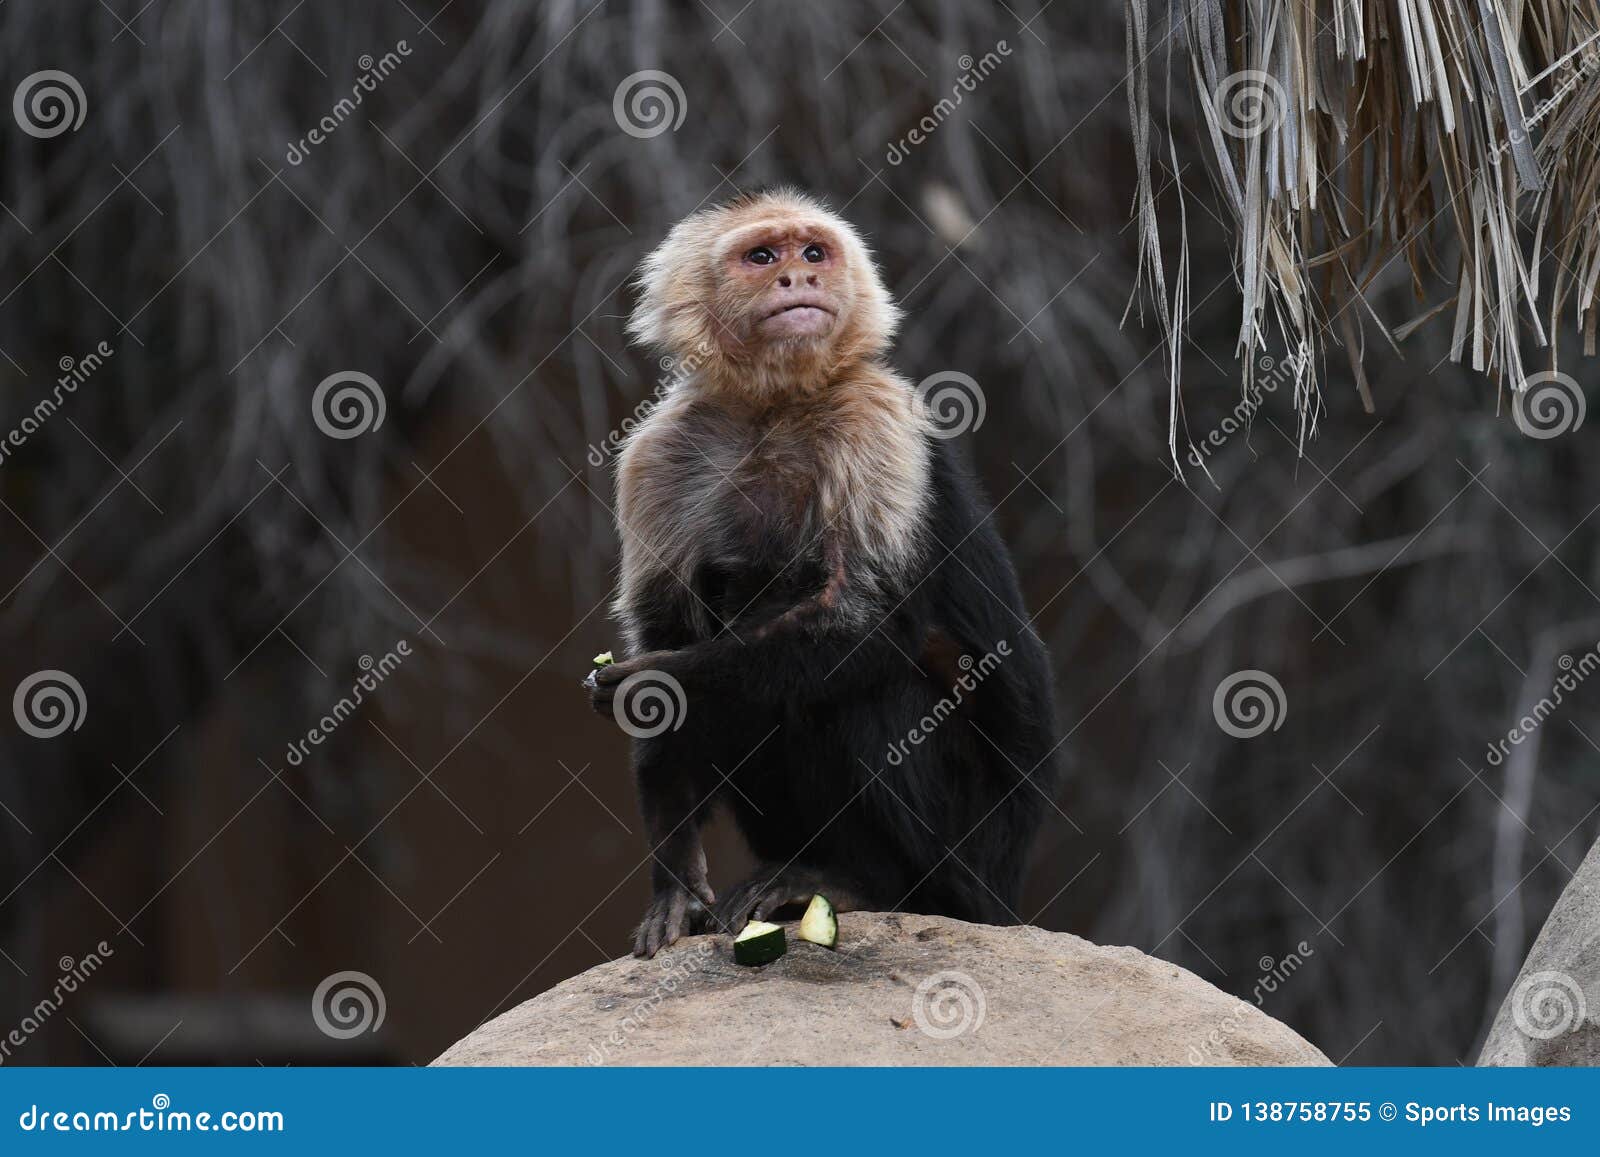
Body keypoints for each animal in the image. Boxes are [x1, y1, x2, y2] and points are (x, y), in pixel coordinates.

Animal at [588, 185, 1062, 953]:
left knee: (858, 689)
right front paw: (676, 883)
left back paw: (861, 884)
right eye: (762, 257)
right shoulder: (656, 454)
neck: (771, 408)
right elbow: (667, 632)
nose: (797, 278)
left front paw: (657, 681)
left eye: (813, 252)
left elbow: (873, 622)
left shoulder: (875, 414)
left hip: (981, 853)